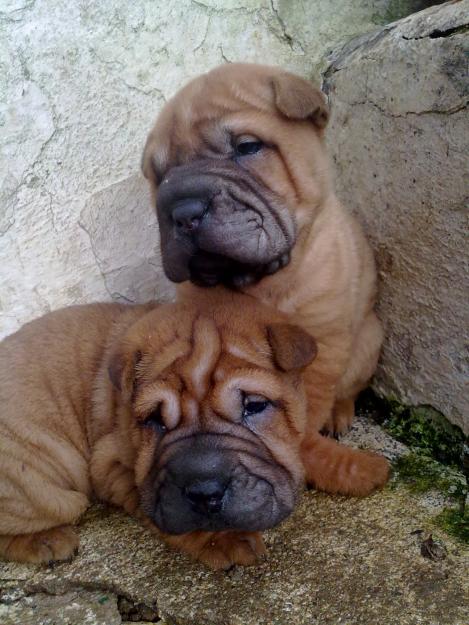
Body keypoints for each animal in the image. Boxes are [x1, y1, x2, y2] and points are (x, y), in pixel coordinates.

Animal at [0, 290, 384, 568]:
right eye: (155, 419)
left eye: (254, 406)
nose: (205, 493)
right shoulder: (114, 467)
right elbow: (167, 513)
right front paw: (226, 539)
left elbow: (311, 449)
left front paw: (363, 468)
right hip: (46, 481)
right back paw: (46, 540)